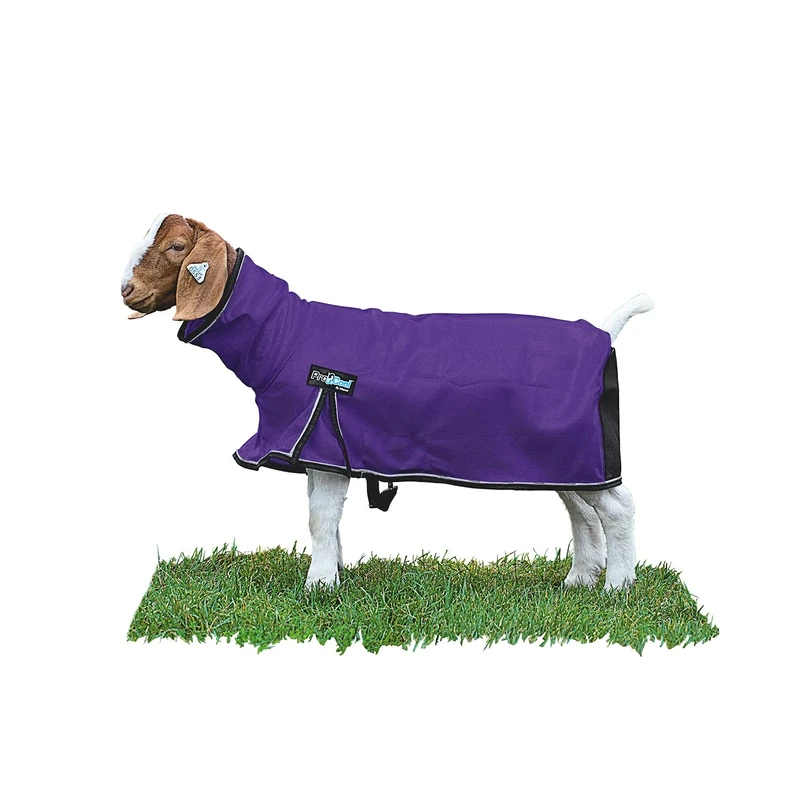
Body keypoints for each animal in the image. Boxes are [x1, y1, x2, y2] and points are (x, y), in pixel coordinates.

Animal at [122, 214, 652, 591]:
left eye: (176, 247)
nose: (126, 289)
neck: (284, 336)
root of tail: (603, 332)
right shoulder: (319, 449)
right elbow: (327, 519)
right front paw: (334, 576)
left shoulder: (321, 434)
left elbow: (319, 518)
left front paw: (317, 586)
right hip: (566, 457)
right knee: (582, 510)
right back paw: (579, 580)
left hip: (582, 451)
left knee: (618, 507)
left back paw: (617, 587)